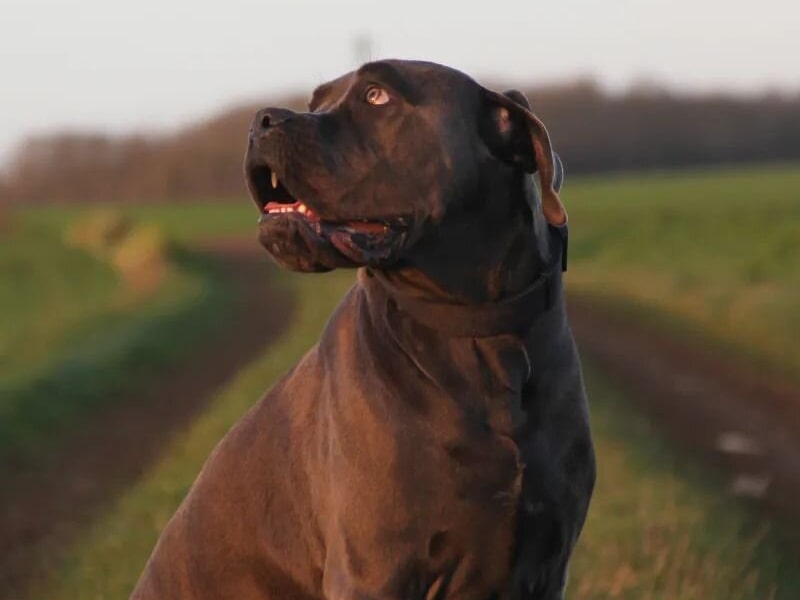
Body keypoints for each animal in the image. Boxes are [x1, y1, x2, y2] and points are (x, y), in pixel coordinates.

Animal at [131, 59, 592, 600]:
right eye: (315, 103)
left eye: (376, 96)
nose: (261, 120)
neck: (479, 332)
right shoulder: (375, 569)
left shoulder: (546, 562)